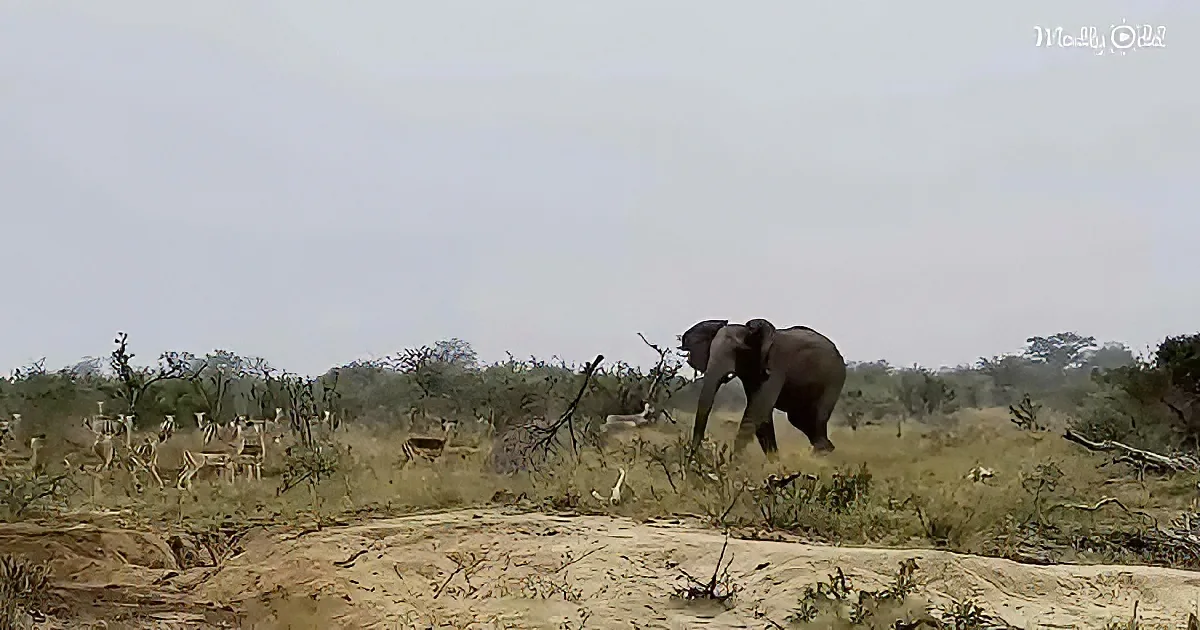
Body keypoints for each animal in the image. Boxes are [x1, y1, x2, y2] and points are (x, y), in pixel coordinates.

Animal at [679, 318, 847, 458]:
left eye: (738, 351)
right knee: (800, 420)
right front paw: (774, 463)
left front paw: (732, 468)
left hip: (834, 378)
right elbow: (762, 417)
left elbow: (758, 409)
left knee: (816, 419)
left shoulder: (775, 365)